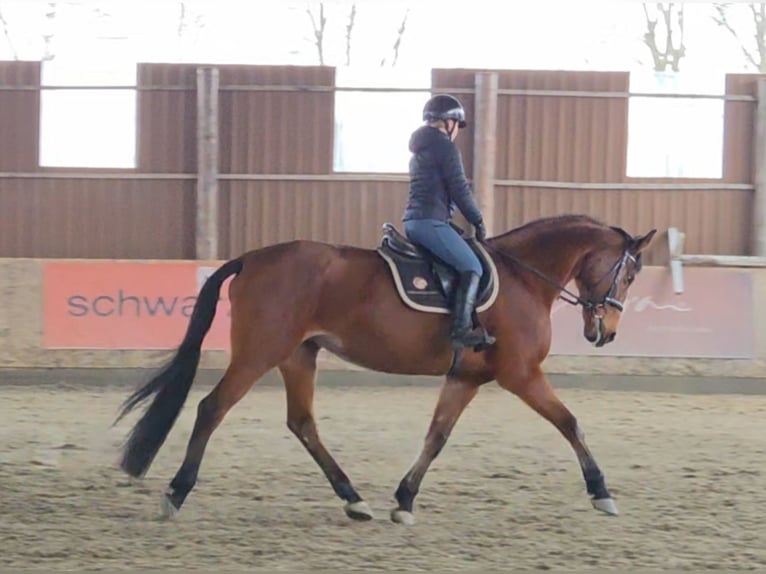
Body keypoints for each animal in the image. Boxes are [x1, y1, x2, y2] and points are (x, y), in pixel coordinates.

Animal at [114, 214, 656, 525]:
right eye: (629, 273)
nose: (605, 332)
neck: (523, 277)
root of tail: (251, 258)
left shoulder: (465, 378)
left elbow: (436, 437)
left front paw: (404, 499)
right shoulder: (520, 375)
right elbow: (570, 423)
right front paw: (601, 492)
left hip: (298, 355)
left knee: (302, 423)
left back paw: (354, 499)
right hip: (259, 351)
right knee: (212, 408)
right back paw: (176, 493)